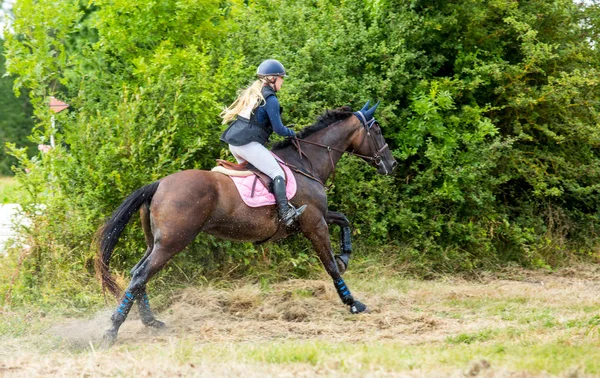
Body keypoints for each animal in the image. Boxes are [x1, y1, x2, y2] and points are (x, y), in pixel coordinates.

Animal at [97, 102, 398, 344]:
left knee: (138, 273)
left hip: (157, 242)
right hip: (173, 241)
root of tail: (159, 184)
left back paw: (150, 322)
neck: (307, 163)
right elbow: (330, 266)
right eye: (377, 131)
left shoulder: (314, 217)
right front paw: (353, 302)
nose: (391, 164)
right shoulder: (314, 223)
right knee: (140, 275)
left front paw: (345, 256)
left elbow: (343, 220)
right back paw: (111, 331)